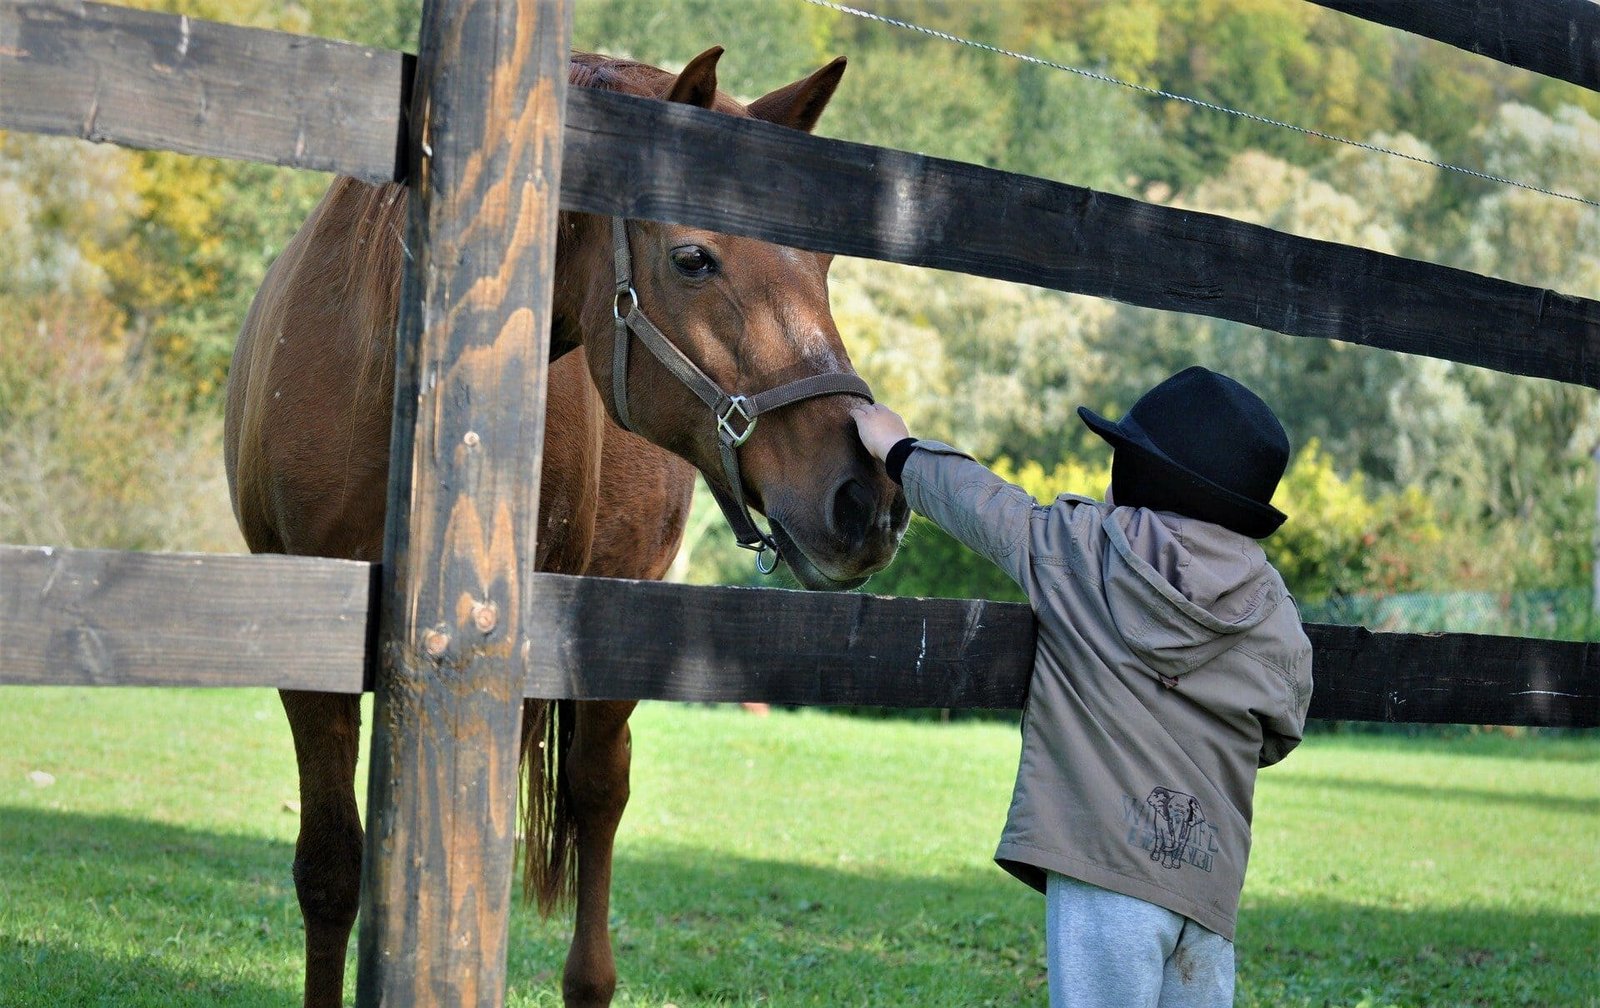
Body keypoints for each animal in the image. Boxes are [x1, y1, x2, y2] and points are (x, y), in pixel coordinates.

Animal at [222, 46, 908, 1007]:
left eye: (826, 260)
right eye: (693, 258)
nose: (865, 496)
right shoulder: (305, 652)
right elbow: (330, 869)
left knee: (597, 792)